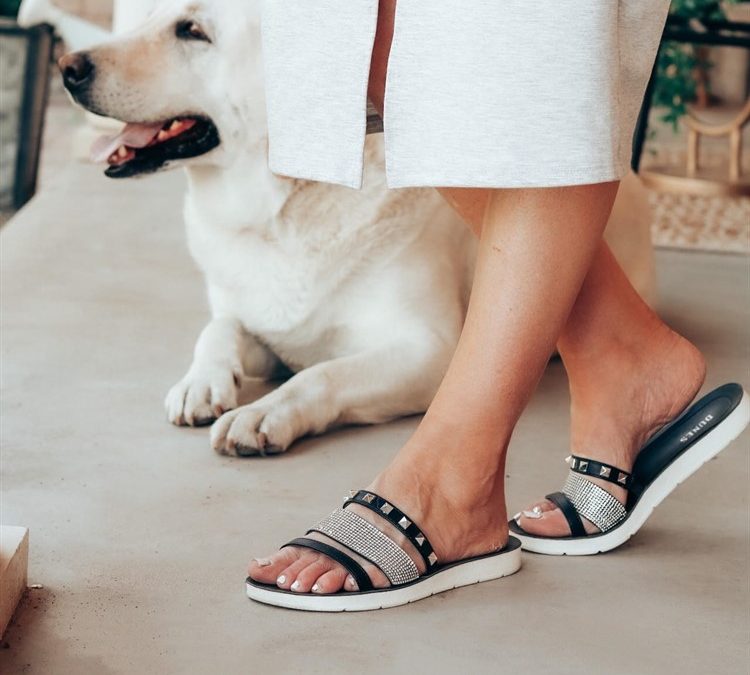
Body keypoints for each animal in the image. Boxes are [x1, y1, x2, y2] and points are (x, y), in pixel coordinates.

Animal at [58, 0, 656, 456]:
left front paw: (264, 414)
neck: (280, 210)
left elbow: (322, 374)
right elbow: (220, 327)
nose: (67, 66)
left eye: (191, 31)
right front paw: (201, 382)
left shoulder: (429, 348)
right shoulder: (265, 328)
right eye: (147, 17)